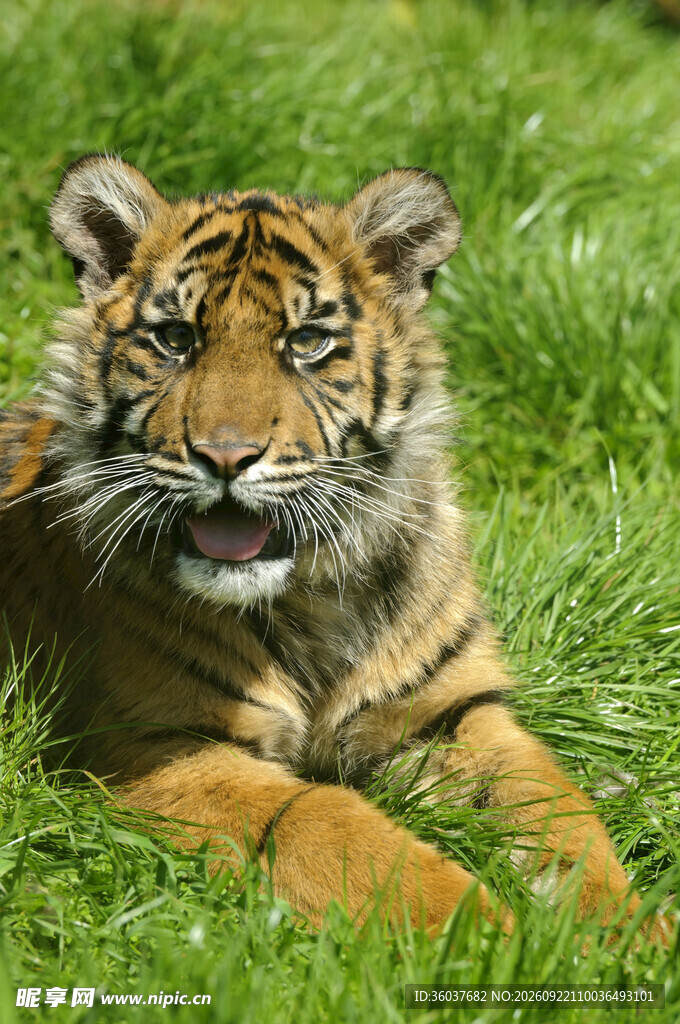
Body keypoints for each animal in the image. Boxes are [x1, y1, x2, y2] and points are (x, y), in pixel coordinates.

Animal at [0, 154, 668, 938]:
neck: (313, 590)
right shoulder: (160, 741)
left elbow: (562, 813)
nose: (225, 456)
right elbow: (335, 826)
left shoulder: (452, 714)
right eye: (176, 339)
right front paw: (491, 941)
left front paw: (624, 935)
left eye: (306, 342)